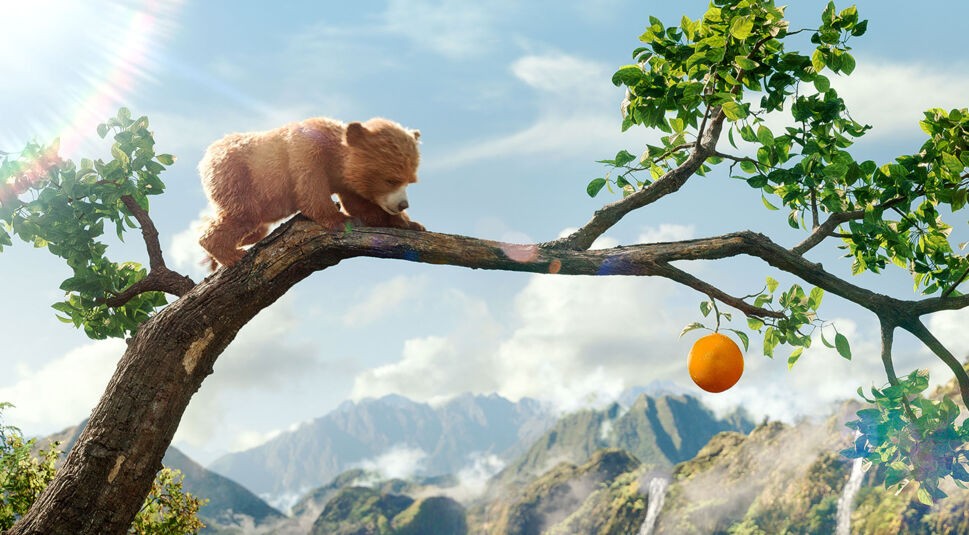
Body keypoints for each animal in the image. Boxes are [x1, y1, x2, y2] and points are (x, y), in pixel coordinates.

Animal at [198, 116, 425, 268]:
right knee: (243, 215)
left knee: (255, 228)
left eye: (410, 180)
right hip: (237, 176)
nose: (403, 205)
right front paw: (341, 220)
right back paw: (230, 254)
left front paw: (409, 223)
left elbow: (361, 206)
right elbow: (311, 191)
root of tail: (207, 156)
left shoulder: (346, 182)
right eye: (391, 179)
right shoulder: (306, 153)